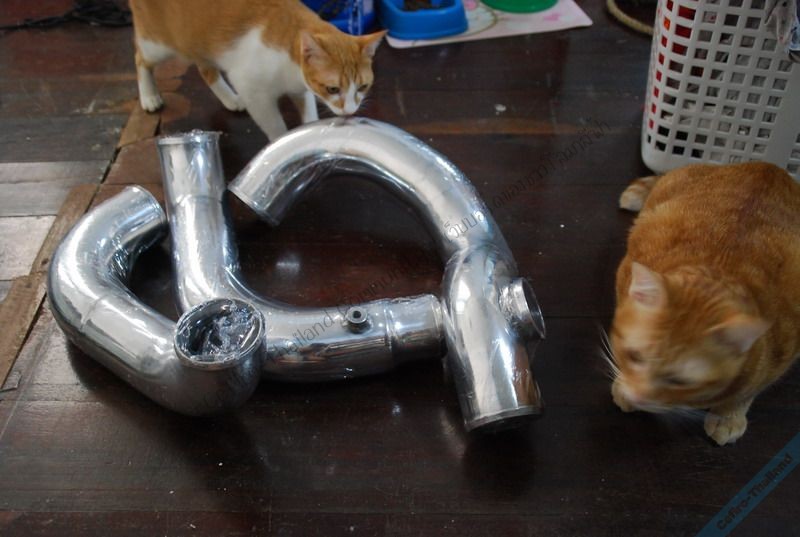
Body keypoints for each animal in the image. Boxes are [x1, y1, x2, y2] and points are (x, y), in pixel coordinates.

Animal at [129, 0, 386, 140]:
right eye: (332, 89)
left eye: (363, 86)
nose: (350, 111)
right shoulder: (253, 91)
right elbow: (275, 125)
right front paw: (281, 143)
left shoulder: (300, 90)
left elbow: (308, 115)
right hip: (159, 44)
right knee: (140, 58)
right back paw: (150, 96)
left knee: (205, 68)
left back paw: (230, 99)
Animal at [609, 162, 800, 445]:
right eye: (635, 356)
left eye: (679, 381)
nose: (638, 396)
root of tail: (770, 166)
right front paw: (624, 386)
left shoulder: (783, 353)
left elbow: (745, 392)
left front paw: (727, 415)